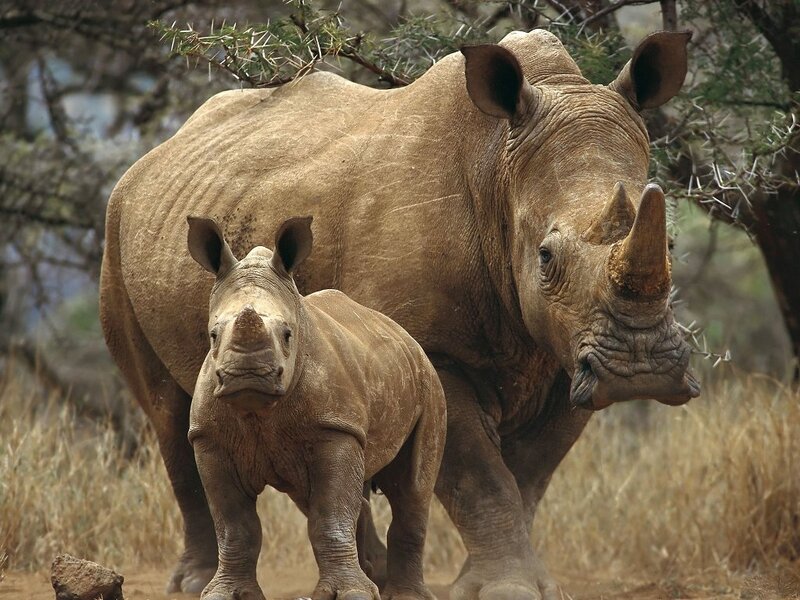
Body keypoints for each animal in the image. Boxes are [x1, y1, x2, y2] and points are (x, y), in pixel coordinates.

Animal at [186, 215, 445, 600]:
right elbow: (234, 527)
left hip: (430, 382)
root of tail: (404, 335)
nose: (248, 375)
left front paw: (351, 594)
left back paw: (403, 594)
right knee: (320, 497)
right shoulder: (209, 439)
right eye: (213, 335)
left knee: (411, 488)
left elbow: (330, 517)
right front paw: (223, 594)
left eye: (288, 334)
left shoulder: (335, 428)